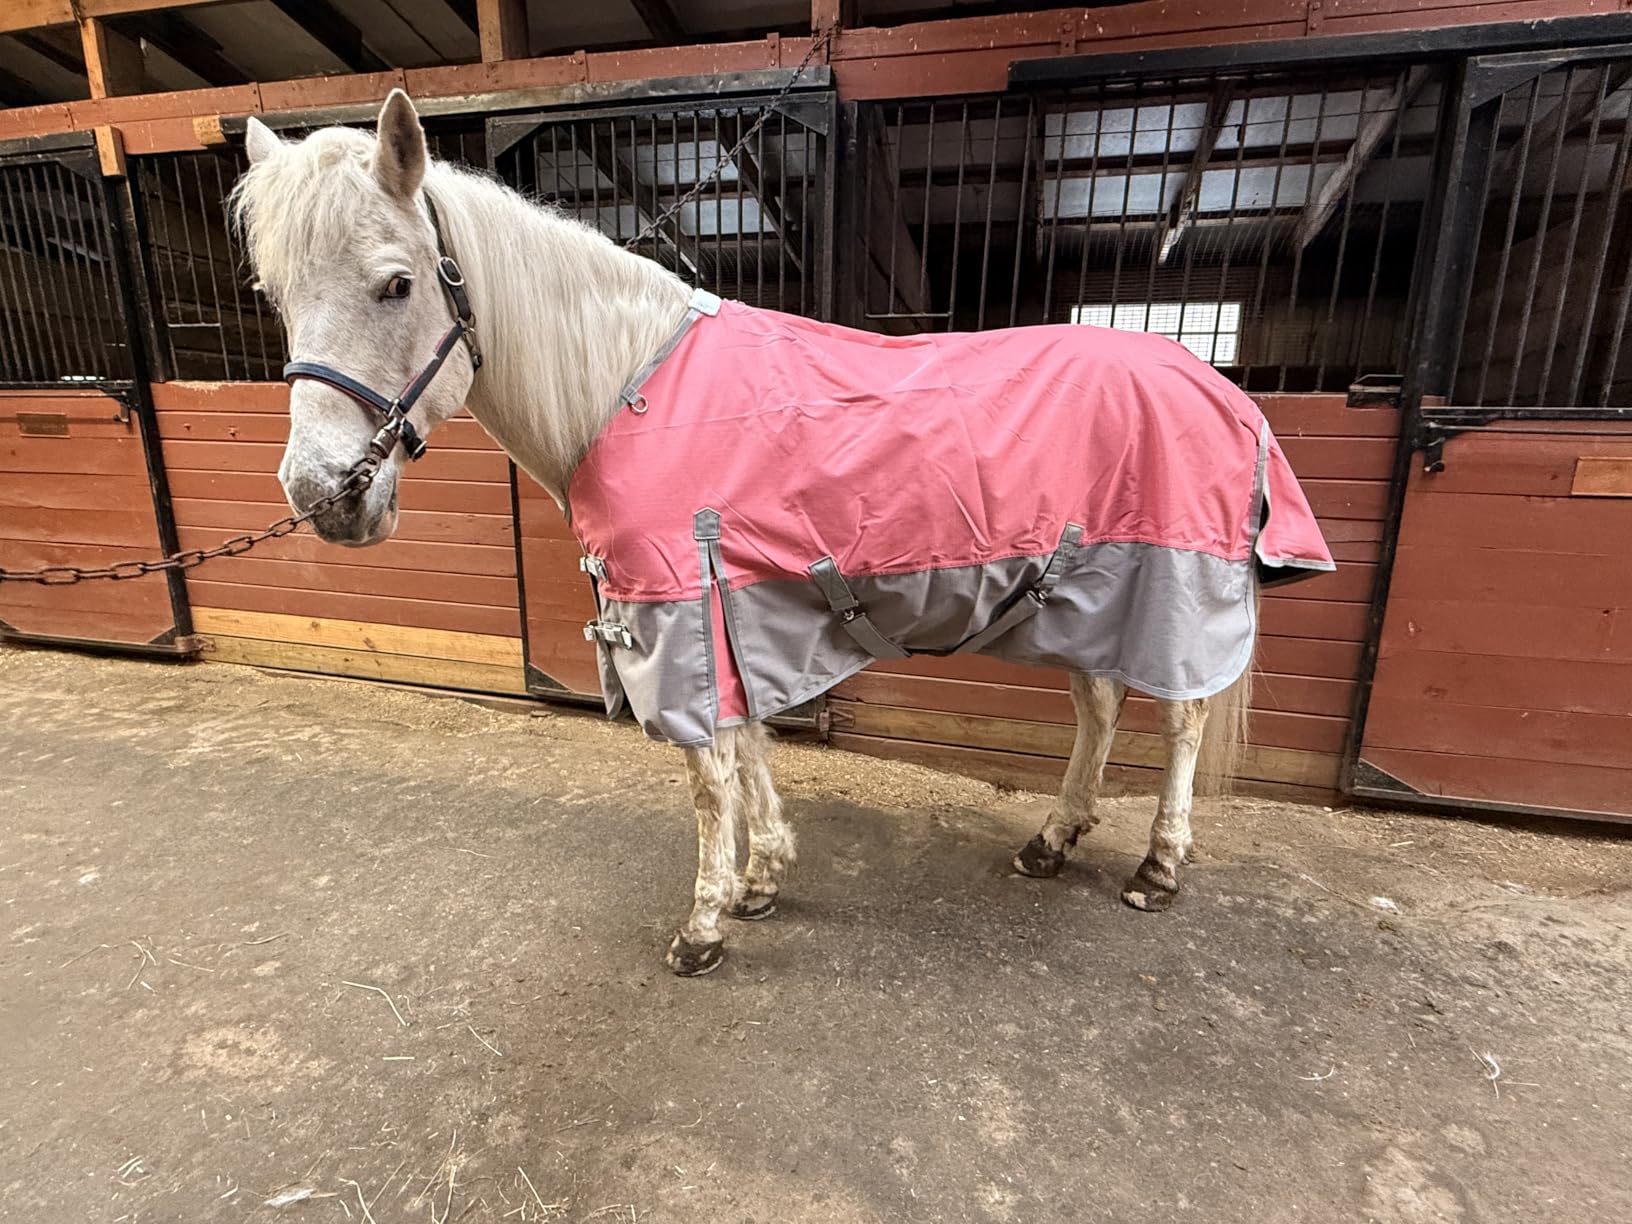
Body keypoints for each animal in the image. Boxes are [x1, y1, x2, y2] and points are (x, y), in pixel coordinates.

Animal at [232, 91, 1334, 976]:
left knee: (1181, 720)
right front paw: (762, 879)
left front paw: (706, 924)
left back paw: (1157, 867)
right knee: (1101, 708)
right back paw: (1052, 842)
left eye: (397, 283)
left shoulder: (680, 604)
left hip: (1167, 587)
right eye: (274, 296)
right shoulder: (731, 605)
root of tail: (1221, 390)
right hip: (1085, 590)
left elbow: (709, 774)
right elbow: (749, 742)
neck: (628, 386)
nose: (325, 495)